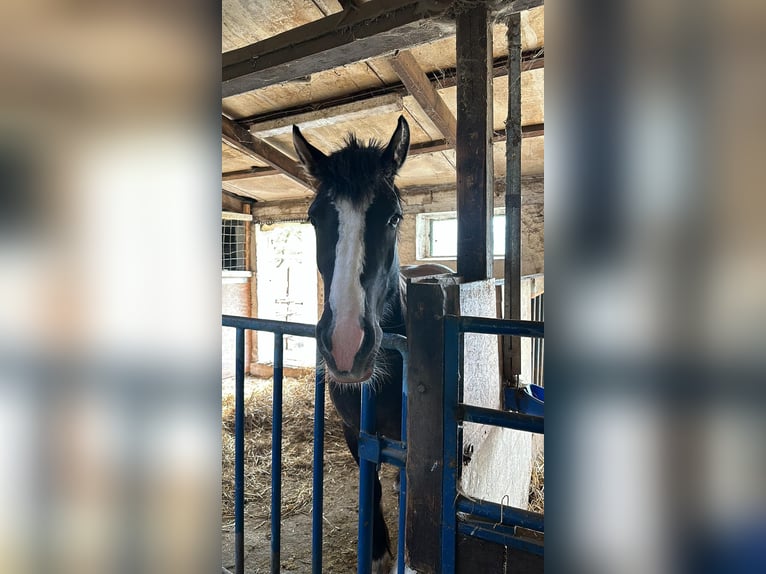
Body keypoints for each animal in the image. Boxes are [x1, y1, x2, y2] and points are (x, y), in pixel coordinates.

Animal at [292, 118, 450, 574]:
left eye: (393, 217)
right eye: (314, 218)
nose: (346, 346)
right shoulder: (353, 431)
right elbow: (370, 488)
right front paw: (378, 553)